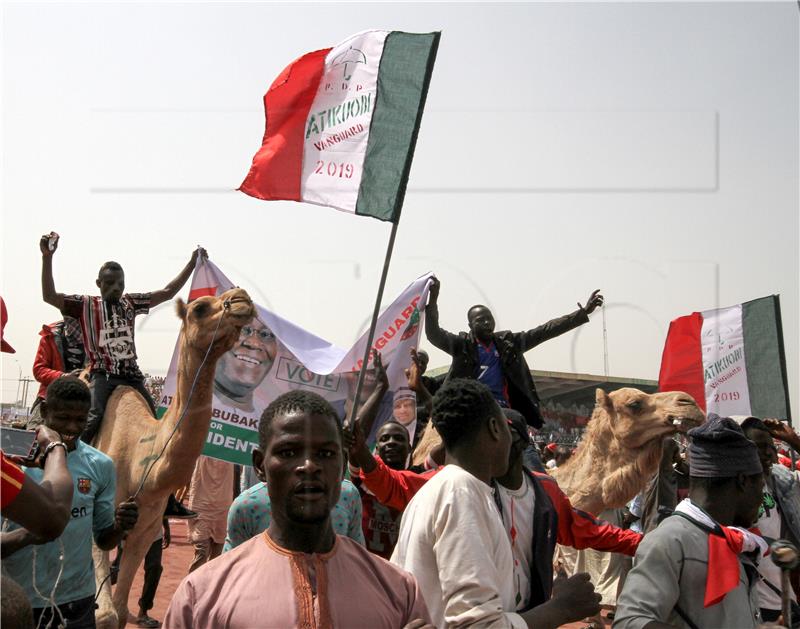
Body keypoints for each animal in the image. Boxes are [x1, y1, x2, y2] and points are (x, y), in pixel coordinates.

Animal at [91, 288, 255, 624]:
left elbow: (121, 610)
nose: (241, 297)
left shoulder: (145, 529)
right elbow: (107, 615)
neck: (140, 462)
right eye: (200, 308)